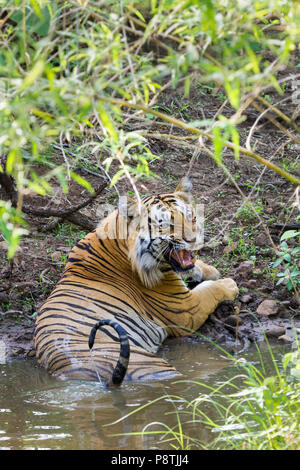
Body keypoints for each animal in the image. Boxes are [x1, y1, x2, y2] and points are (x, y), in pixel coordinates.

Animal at [34, 176, 238, 386]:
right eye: (168, 224)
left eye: (192, 217)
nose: (194, 240)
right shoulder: (186, 308)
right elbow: (211, 290)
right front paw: (229, 284)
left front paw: (210, 270)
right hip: (153, 365)